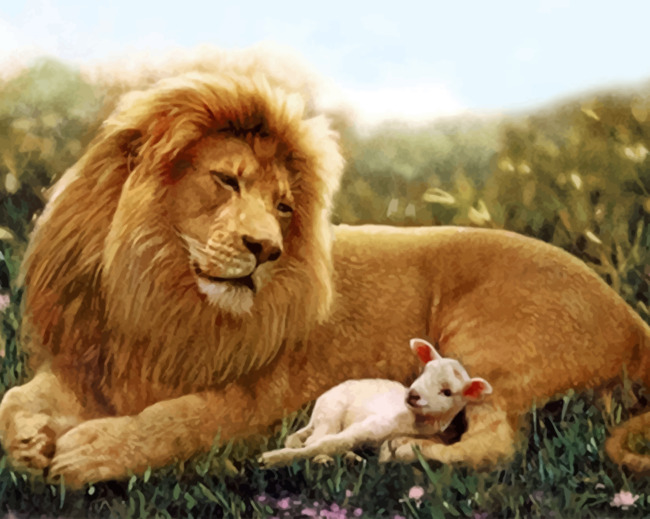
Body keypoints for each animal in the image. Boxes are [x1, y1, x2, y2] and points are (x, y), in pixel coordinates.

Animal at [259, 338, 492, 468]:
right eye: (425, 371)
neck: (412, 422)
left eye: (447, 392)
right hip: (331, 412)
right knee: (316, 438)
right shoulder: (370, 425)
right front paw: (271, 459)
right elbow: (328, 443)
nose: (413, 395)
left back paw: (349, 458)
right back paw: (325, 459)